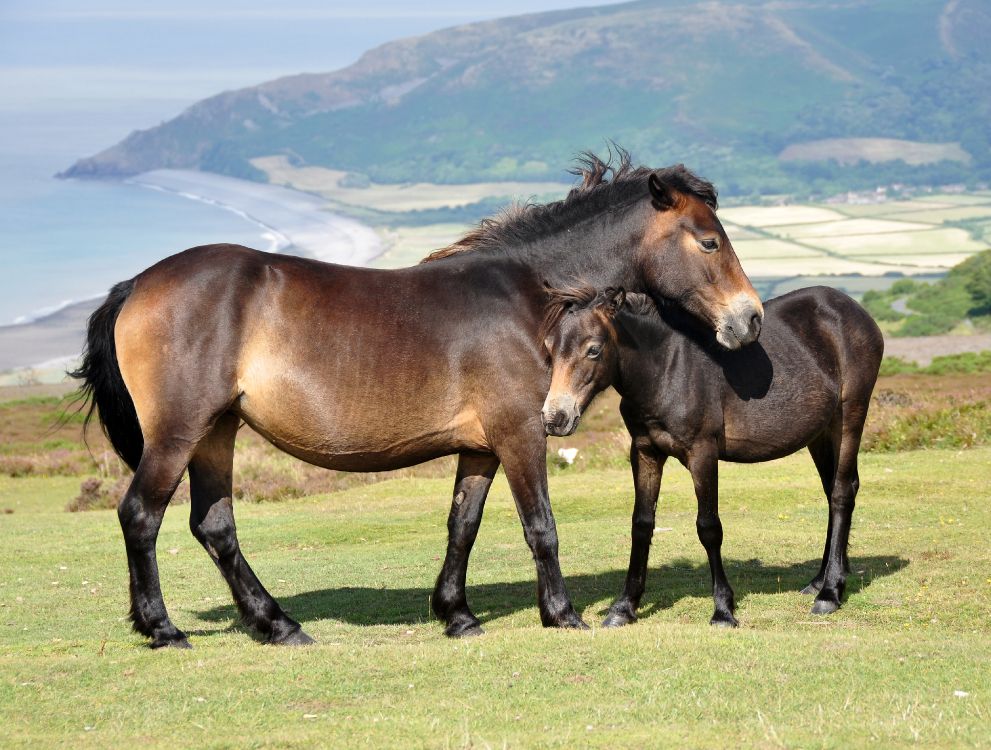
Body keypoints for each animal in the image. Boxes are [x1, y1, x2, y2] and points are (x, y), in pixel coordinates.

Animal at [72, 152, 763, 648]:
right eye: (708, 242)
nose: (749, 319)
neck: (528, 298)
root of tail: (139, 284)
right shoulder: (521, 431)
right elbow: (540, 525)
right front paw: (562, 614)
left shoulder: (482, 445)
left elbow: (463, 525)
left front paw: (457, 615)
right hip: (179, 432)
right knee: (141, 516)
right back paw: (163, 628)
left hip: (217, 430)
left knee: (213, 526)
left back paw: (278, 625)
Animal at [538, 285, 882, 627]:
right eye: (549, 348)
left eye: (593, 350)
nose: (555, 418)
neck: (667, 368)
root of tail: (854, 310)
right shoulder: (645, 451)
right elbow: (642, 524)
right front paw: (624, 607)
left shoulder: (702, 453)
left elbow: (708, 527)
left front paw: (723, 609)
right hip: (820, 433)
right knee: (832, 491)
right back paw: (820, 580)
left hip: (849, 416)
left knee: (842, 492)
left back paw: (829, 593)